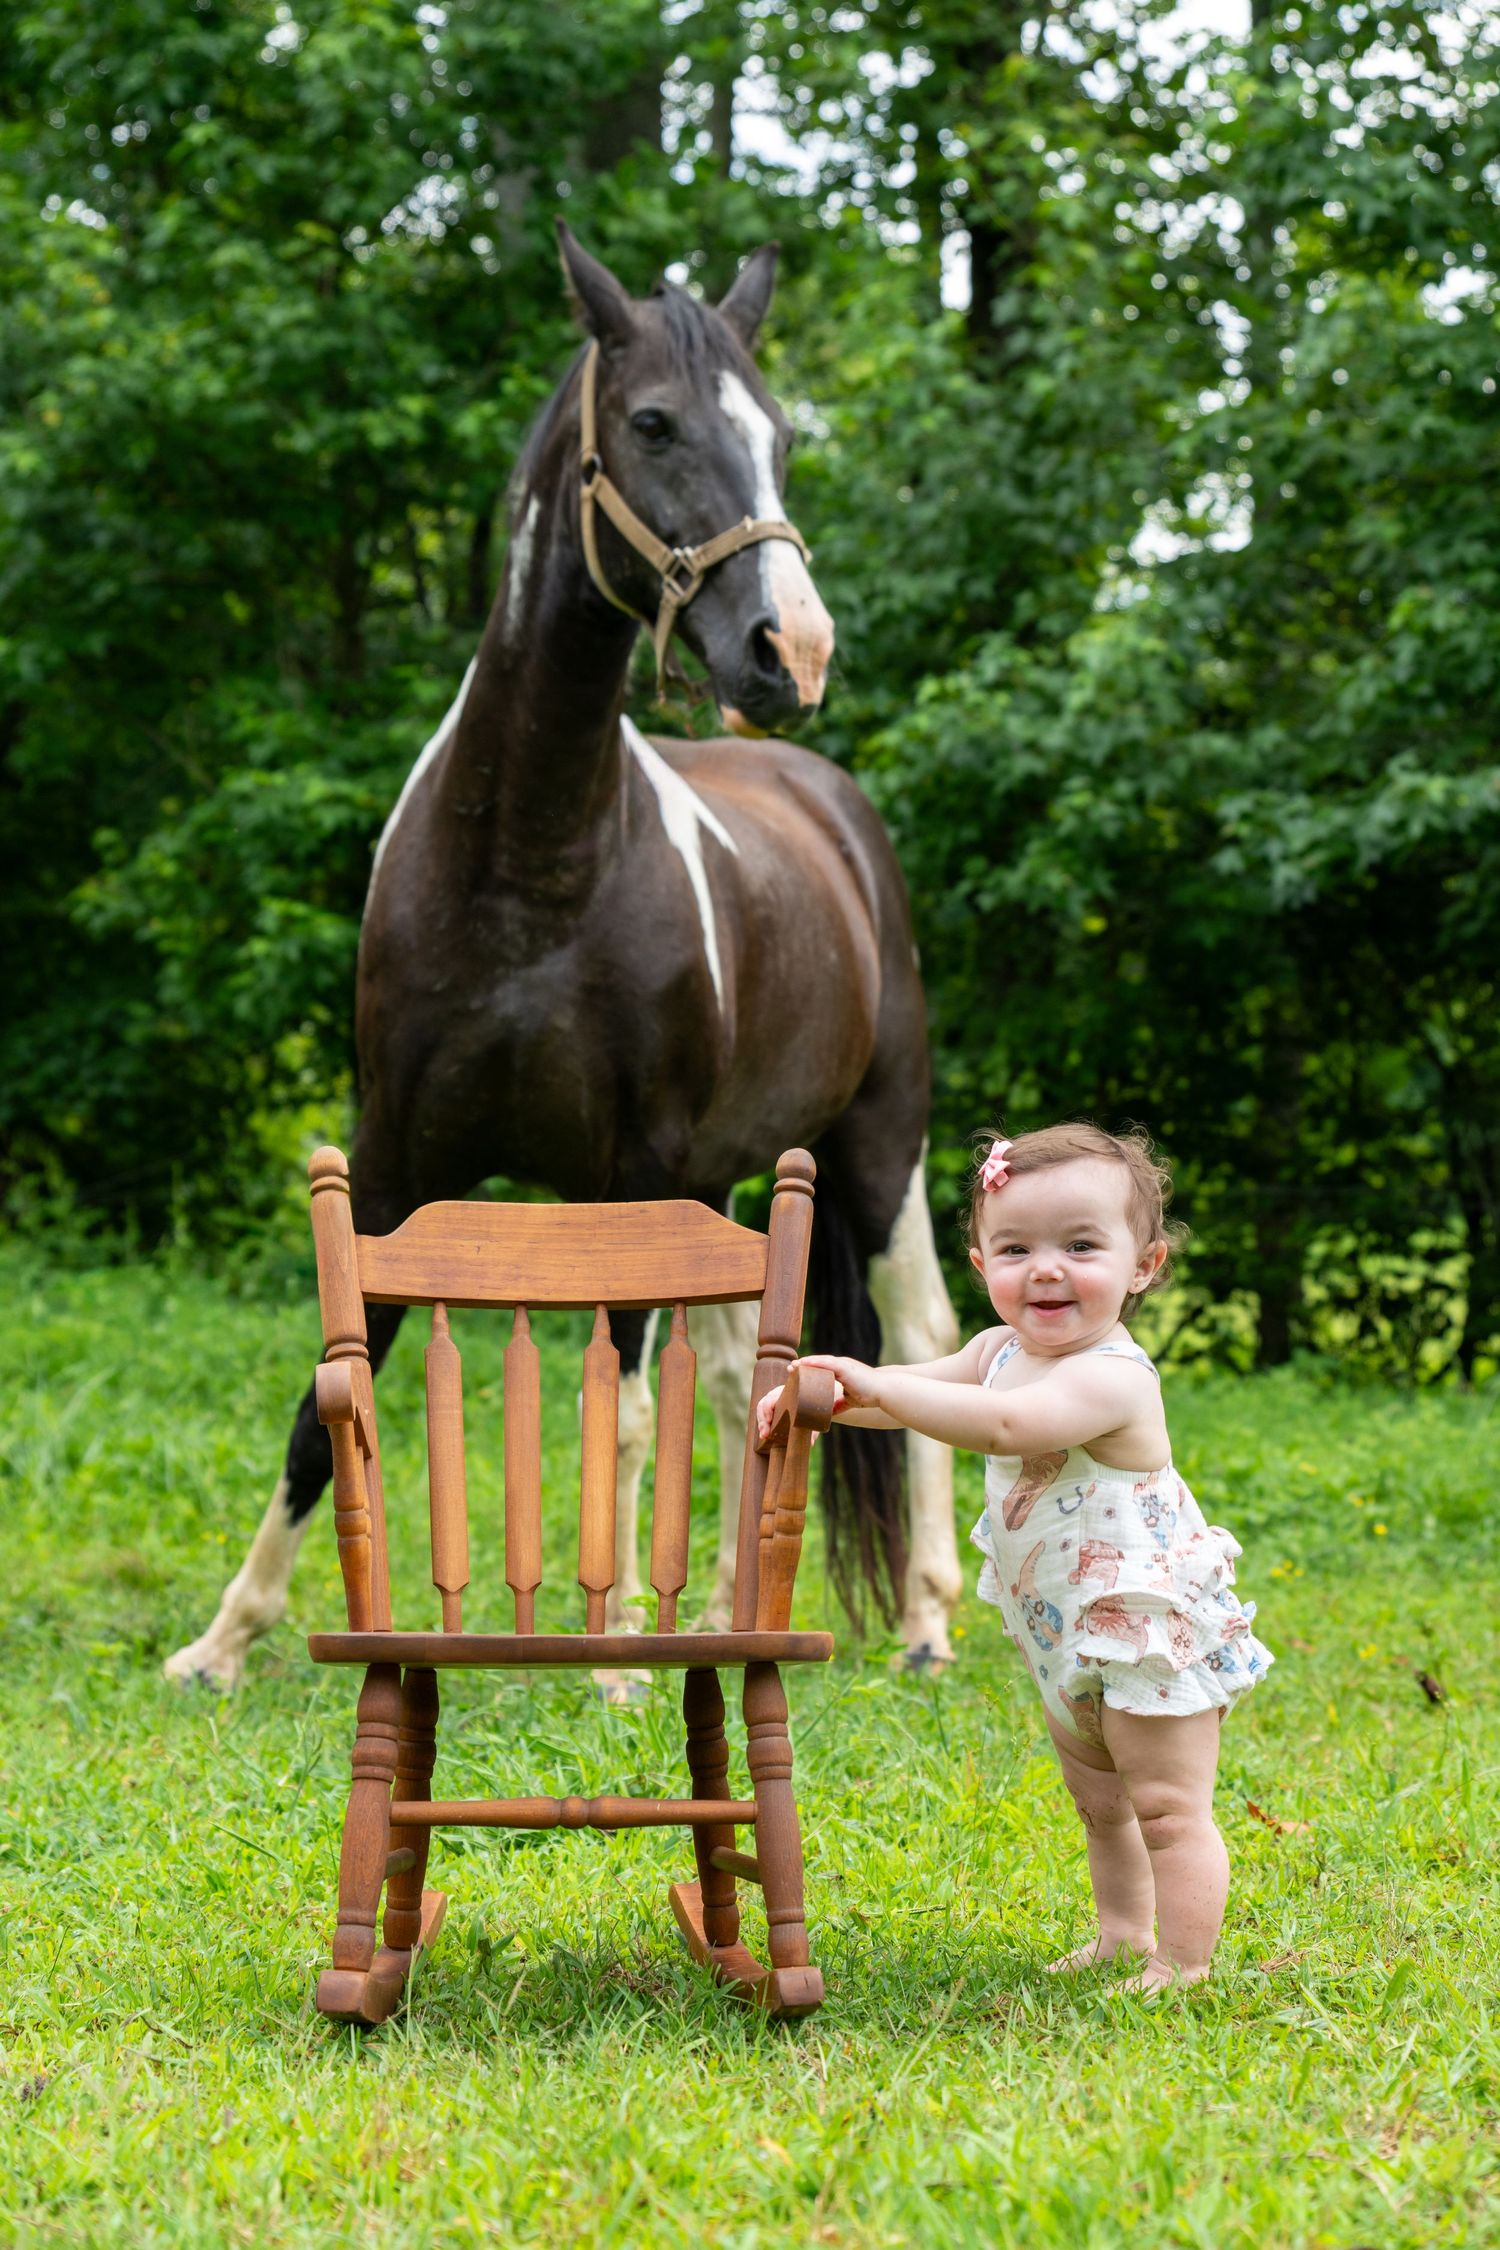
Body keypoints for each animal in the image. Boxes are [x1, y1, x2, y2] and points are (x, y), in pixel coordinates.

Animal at [165, 226, 962, 1693]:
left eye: (781, 437)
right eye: (651, 423)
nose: (792, 649)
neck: (524, 877)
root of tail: (829, 801)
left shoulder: (628, 1172)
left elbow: (624, 1411)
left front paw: (616, 1658)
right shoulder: (393, 1154)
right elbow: (330, 1392)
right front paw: (225, 1639)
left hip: (881, 1144)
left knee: (920, 1331)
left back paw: (930, 1617)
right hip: (730, 1174)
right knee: (742, 1380)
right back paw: (731, 1608)